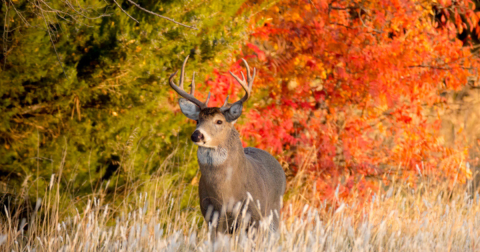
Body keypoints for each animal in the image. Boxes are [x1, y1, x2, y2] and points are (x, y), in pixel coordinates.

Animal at [170, 55, 284, 236]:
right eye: (197, 120)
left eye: (219, 121)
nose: (197, 135)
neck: (226, 195)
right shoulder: (212, 218)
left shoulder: (254, 217)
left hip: (273, 213)